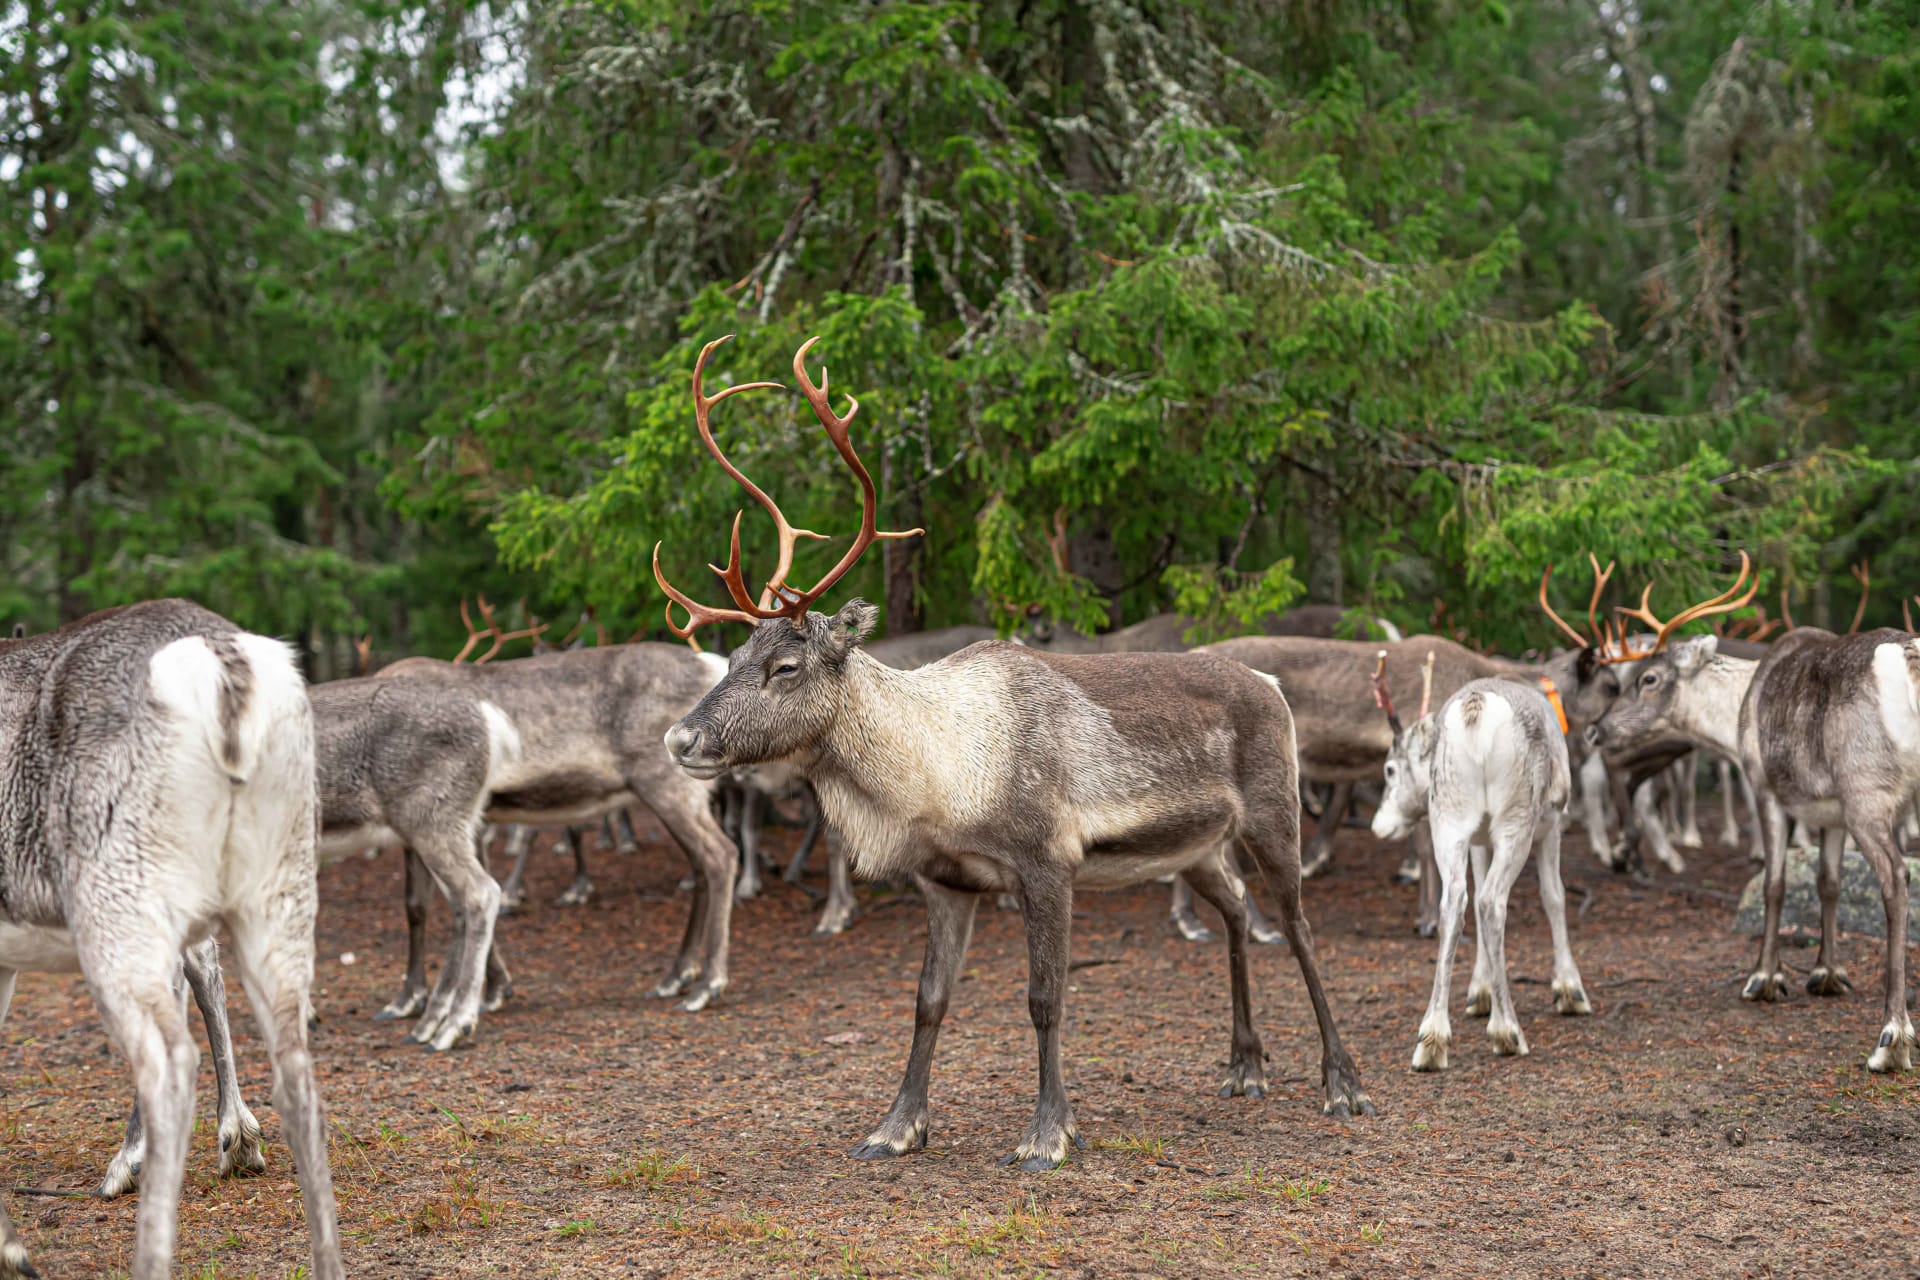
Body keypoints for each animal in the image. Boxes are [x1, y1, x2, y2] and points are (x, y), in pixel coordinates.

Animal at [1374, 660, 1597, 1074]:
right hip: (1517, 821)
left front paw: (1479, 992)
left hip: (1448, 818)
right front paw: (1569, 989)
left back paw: (1432, 1039)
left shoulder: (1478, 839)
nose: (1378, 825)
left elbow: (1473, 902)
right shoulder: (1553, 825)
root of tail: (1473, 712)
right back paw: (1507, 1030)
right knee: (1492, 902)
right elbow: (1554, 897)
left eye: (1390, 770)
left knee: (1456, 903)